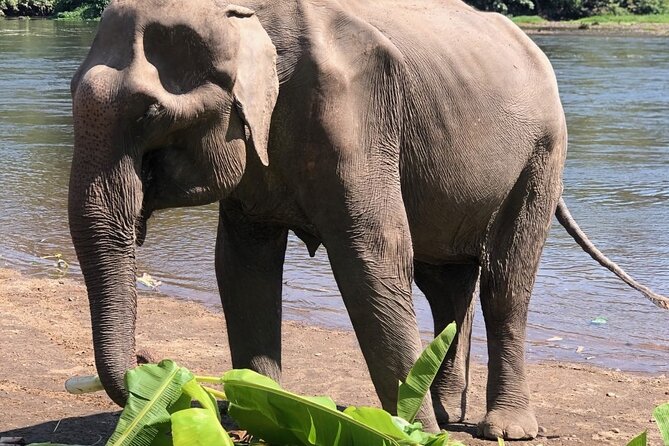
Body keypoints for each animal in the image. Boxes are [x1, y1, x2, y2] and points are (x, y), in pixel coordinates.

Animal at [67, 0, 669, 440]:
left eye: (151, 114)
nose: (151, 357)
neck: (247, 16)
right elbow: (242, 265)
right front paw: (257, 412)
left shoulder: (353, 114)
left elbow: (371, 257)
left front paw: (411, 433)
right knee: (445, 284)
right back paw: (449, 414)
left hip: (542, 154)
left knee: (506, 283)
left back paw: (502, 429)